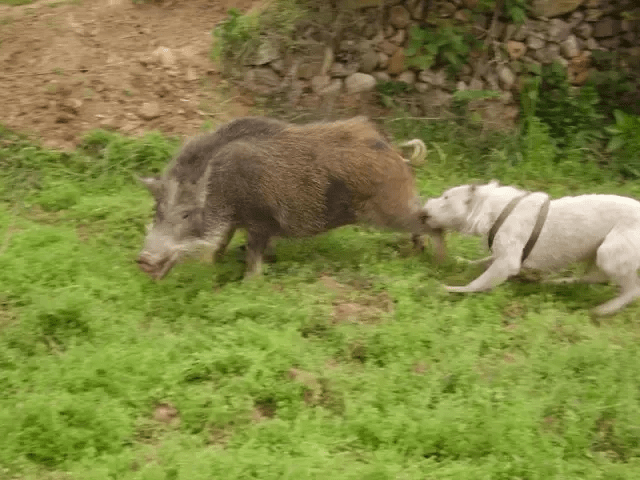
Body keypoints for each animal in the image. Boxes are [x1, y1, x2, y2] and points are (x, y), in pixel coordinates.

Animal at [420, 180, 640, 316]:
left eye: (446, 198)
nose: (422, 210)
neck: (494, 210)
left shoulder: (507, 261)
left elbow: (476, 284)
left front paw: (448, 289)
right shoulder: (503, 255)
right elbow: (479, 263)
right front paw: (461, 262)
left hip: (608, 252)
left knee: (632, 289)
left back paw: (605, 309)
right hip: (596, 254)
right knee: (593, 277)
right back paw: (555, 282)